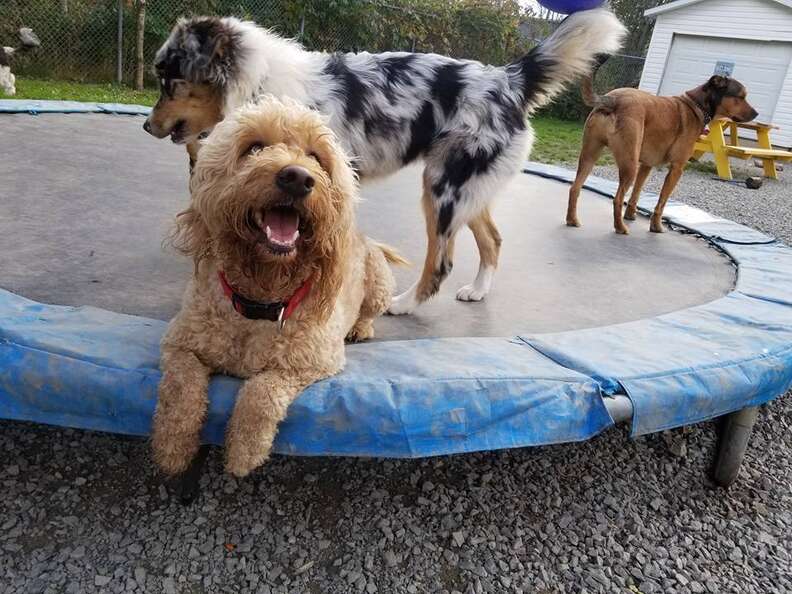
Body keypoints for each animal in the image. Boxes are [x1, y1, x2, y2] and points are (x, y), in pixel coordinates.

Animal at [144, 10, 624, 314]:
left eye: (172, 81)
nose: (147, 126)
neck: (258, 82)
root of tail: (508, 78)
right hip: (469, 188)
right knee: (493, 240)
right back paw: (477, 291)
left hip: (442, 188)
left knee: (441, 262)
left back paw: (404, 305)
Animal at [152, 97, 402, 476]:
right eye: (254, 147)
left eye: (316, 157)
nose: (298, 177)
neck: (259, 301)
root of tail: (365, 238)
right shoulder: (179, 344)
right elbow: (181, 386)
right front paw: (173, 447)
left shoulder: (311, 361)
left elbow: (262, 393)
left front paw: (244, 450)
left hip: (379, 283)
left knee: (369, 312)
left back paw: (360, 327)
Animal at [568, 73, 756, 232]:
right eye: (741, 97)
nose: (756, 113)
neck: (696, 105)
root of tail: (613, 99)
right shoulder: (676, 169)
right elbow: (661, 202)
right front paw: (656, 226)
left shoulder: (646, 165)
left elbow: (636, 193)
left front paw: (631, 214)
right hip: (629, 165)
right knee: (617, 198)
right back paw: (620, 228)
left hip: (590, 155)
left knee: (575, 188)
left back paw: (572, 220)